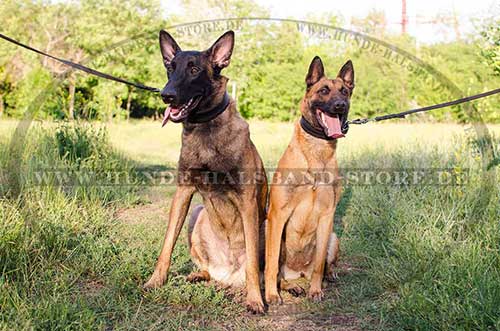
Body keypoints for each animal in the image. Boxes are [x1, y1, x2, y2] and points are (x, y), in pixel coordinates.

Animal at [144, 29, 270, 316]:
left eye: (194, 70)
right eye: (170, 68)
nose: (166, 95)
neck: (205, 128)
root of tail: (228, 274)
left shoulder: (247, 201)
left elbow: (252, 264)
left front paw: (255, 300)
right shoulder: (183, 192)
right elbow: (167, 244)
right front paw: (155, 280)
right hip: (197, 213)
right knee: (206, 268)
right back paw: (198, 275)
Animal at [264, 56, 354, 304]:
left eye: (344, 92)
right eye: (323, 90)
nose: (340, 105)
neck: (317, 150)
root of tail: (298, 271)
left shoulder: (327, 216)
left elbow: (319, 264)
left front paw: (316, 290)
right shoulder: (278, 215)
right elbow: (271, 265)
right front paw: (271, 295)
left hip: (333, 237)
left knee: (322, 264)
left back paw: (327, 275)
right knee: (276, 270)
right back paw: (289, 287)